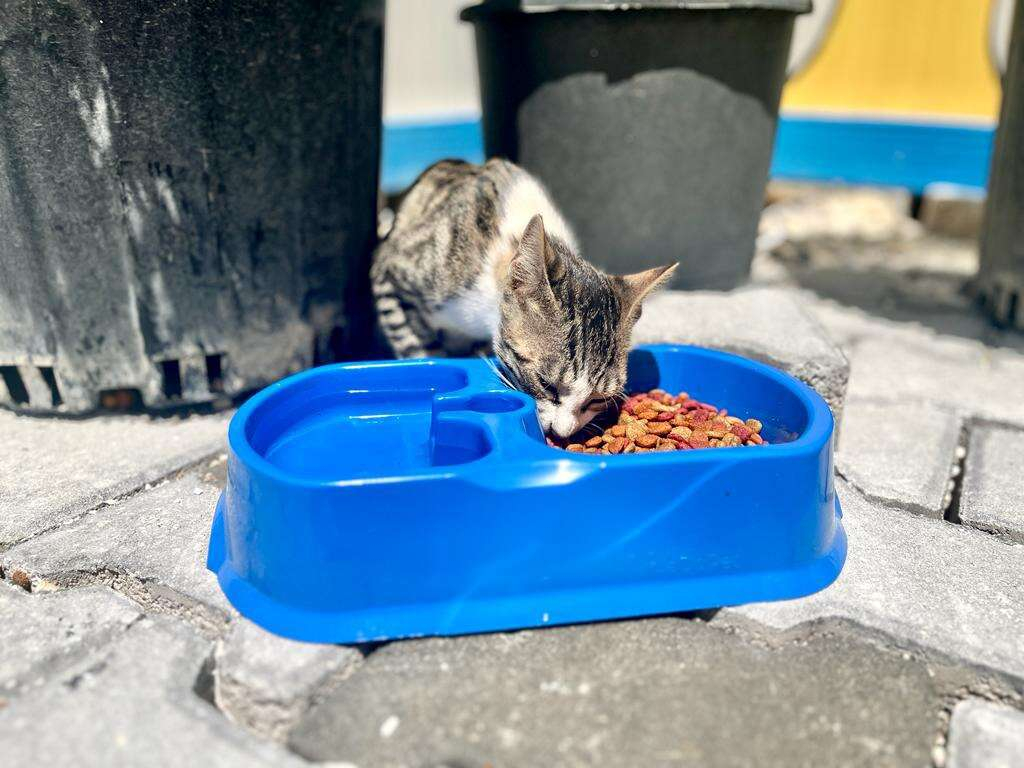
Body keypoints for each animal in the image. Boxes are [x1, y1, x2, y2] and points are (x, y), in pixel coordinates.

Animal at [372, 160, 675, 438]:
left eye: (596, 400)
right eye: (546, 384)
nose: (562, 433)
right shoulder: (388, 270)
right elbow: (412, 344)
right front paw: (425, 356)